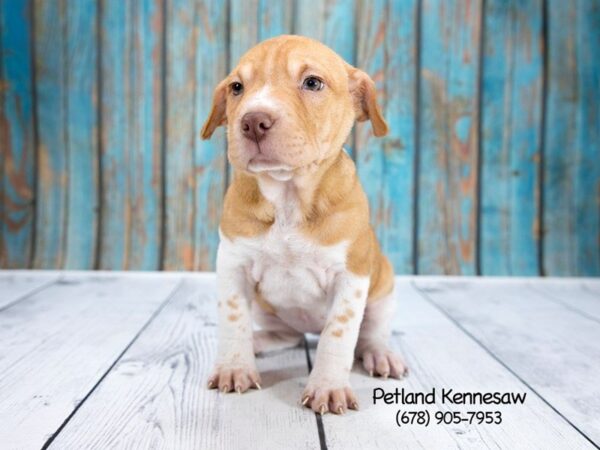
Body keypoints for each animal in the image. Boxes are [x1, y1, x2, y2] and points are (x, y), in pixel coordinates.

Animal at [203, 34, 408, 414]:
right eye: (237, 87)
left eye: (312, 83)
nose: (253, 121)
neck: (287, 198)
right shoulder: (232, 265)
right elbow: (234, 320)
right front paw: (235, 367)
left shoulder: (351, 278)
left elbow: (337, 336)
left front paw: (328, 387)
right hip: (269, 309)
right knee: (288, 335)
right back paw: (258, 341)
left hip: (383, 289)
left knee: (369, 334)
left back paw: (380, 354)